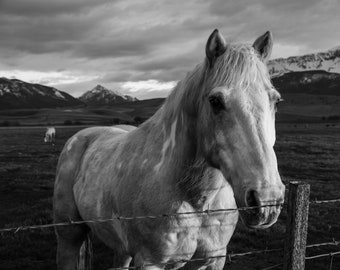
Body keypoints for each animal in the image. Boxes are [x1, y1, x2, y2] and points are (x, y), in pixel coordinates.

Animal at [54, 29, 286, 270]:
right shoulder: (150, 261)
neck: (196, 200)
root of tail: (84, 135)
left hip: (121, 245)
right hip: (69, 235)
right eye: (215, 101)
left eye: (276, 101)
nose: (266, 201)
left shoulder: (213, 259)